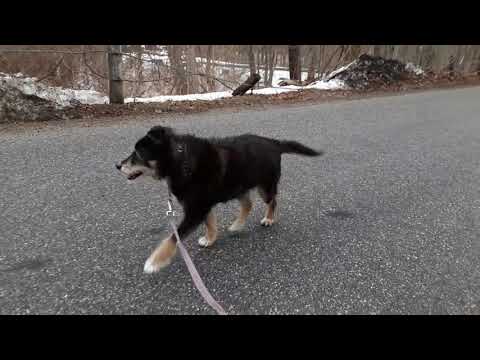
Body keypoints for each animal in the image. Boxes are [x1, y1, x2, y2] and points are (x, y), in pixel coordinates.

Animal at [116, 126, 324, 272]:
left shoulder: (196, 210)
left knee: (272, 201)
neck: (181, 160)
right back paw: (237, 225)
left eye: (138, 154)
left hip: (264, 186)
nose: (117, 165)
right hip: (238, 186)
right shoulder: (202, 206)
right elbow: (210, 223)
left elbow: (172, 238)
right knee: (248, 204)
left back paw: (269, 219)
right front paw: (210, 239)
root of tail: (274, 143)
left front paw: (154, 262)